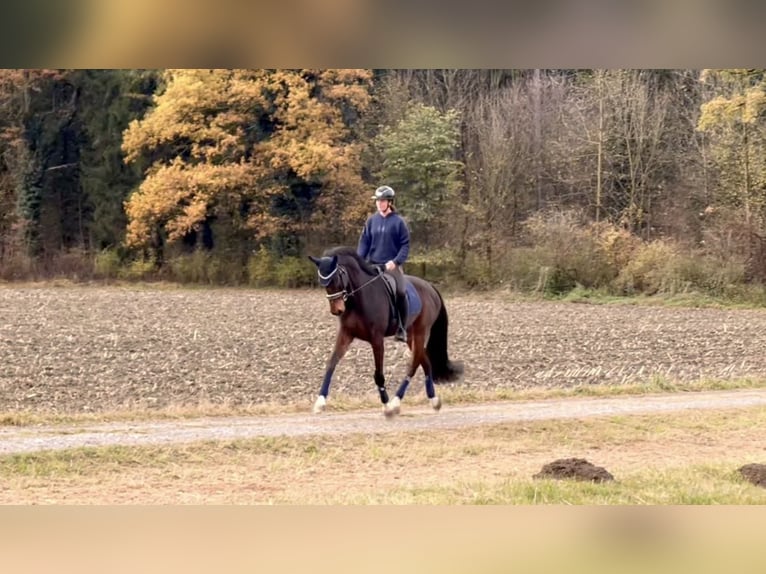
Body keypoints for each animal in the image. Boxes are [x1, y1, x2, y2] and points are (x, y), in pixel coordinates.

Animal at [306, 248, 462, 418]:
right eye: (323, 283)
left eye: (336, 278)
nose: (337, 310)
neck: (359, 298)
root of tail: (430, 287)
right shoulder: (346, 335)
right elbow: (331, 364)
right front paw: (320, 402)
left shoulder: (377, 339)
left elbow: (378, 375)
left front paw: (386, 406)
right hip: (411, 336)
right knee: (425, 361)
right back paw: (433, 401)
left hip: (421, 332)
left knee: (413, 365)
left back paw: (395, 403)